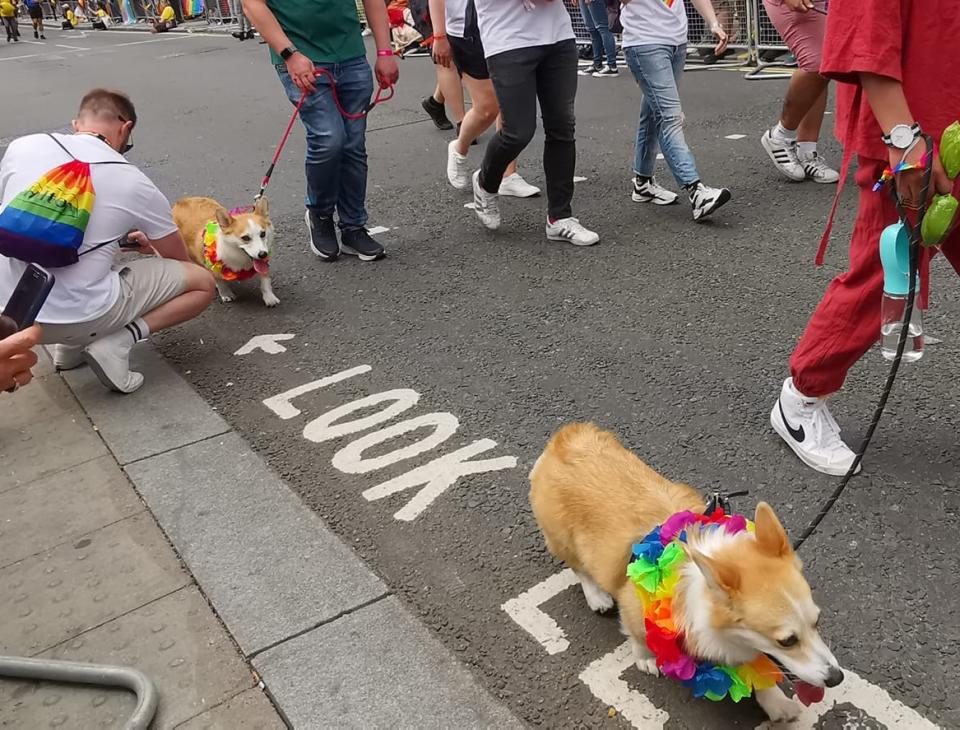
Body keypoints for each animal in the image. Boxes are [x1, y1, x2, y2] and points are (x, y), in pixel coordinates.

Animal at [528, 420, 844, 724]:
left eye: (817, 621)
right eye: (787, 641)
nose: (836, 678)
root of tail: (568, 435)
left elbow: (757, 670)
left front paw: (775, 701)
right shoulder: (633, 603)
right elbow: (637, 634)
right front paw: (646, 657)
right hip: (561, 537)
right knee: (579, 567)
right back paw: (597, 596)